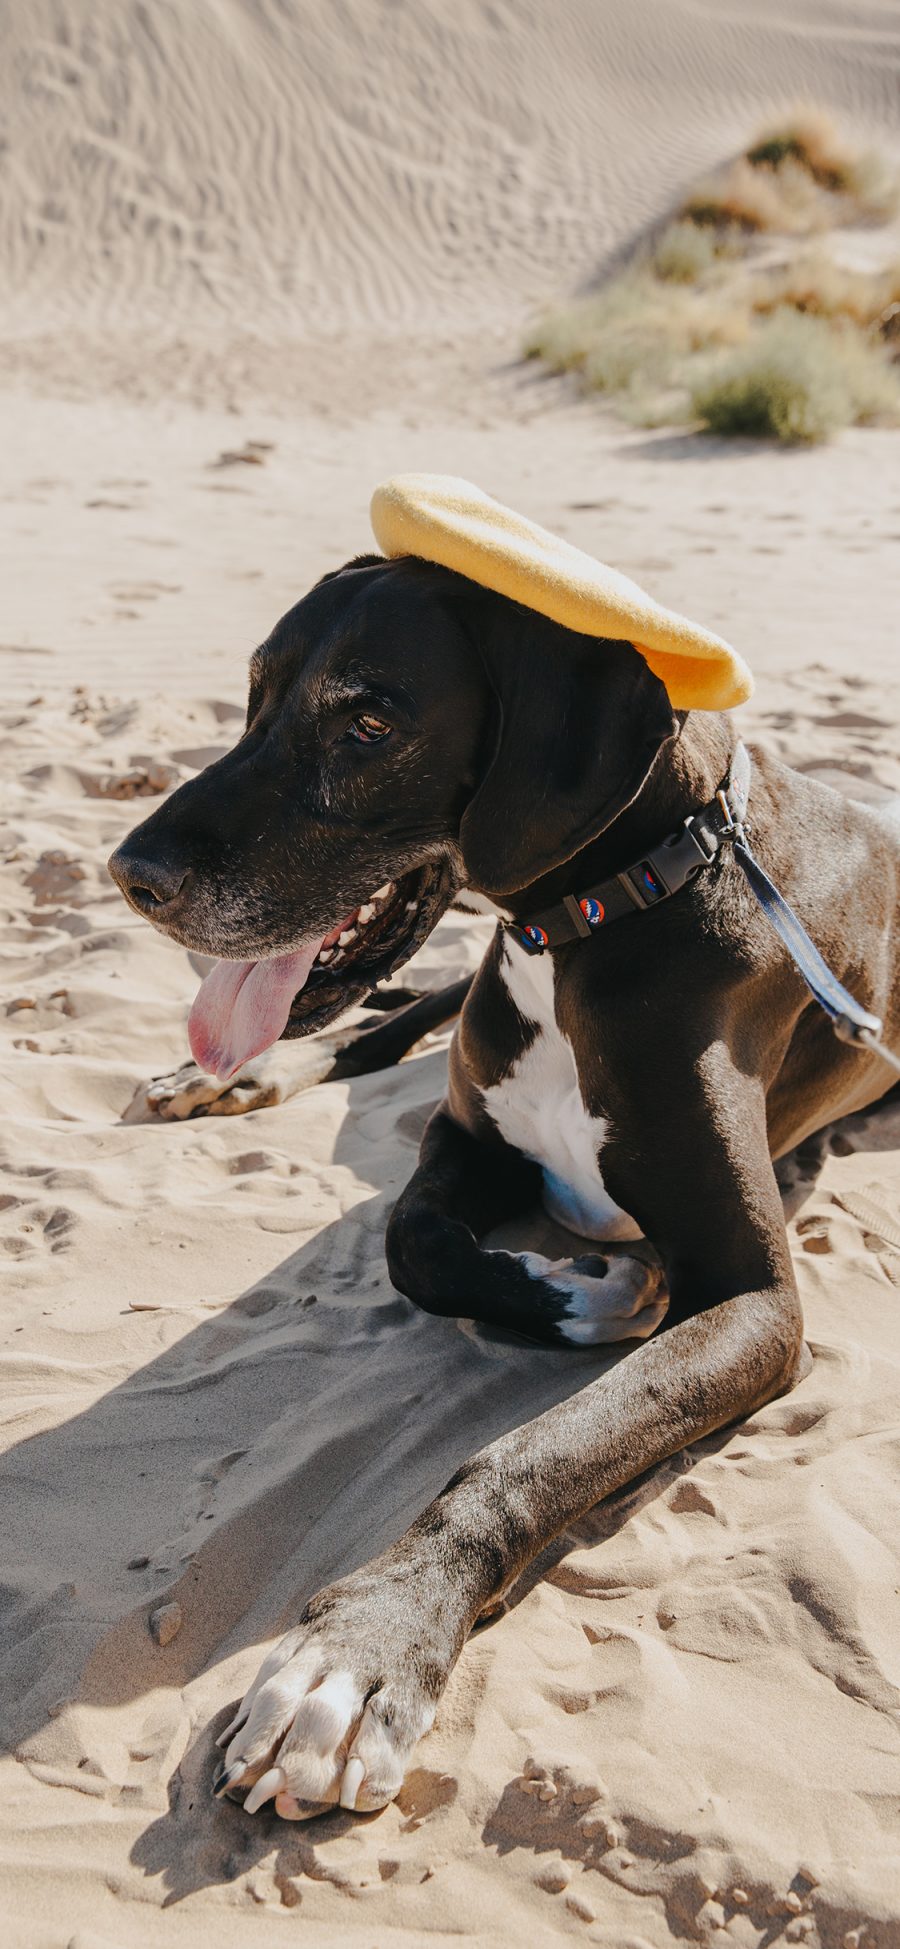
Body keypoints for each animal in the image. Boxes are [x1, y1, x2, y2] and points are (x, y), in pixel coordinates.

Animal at [109, 553, 896, 1824]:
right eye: (255, 694)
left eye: (368, 722)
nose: (131, 875)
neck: (598, 915)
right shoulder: (462, 1141)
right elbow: (411, 1239)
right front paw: (584, 1291)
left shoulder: (756, 1300)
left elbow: (535, 1447)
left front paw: (364, 1649)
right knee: (395, 1014)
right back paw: (231, 1075)